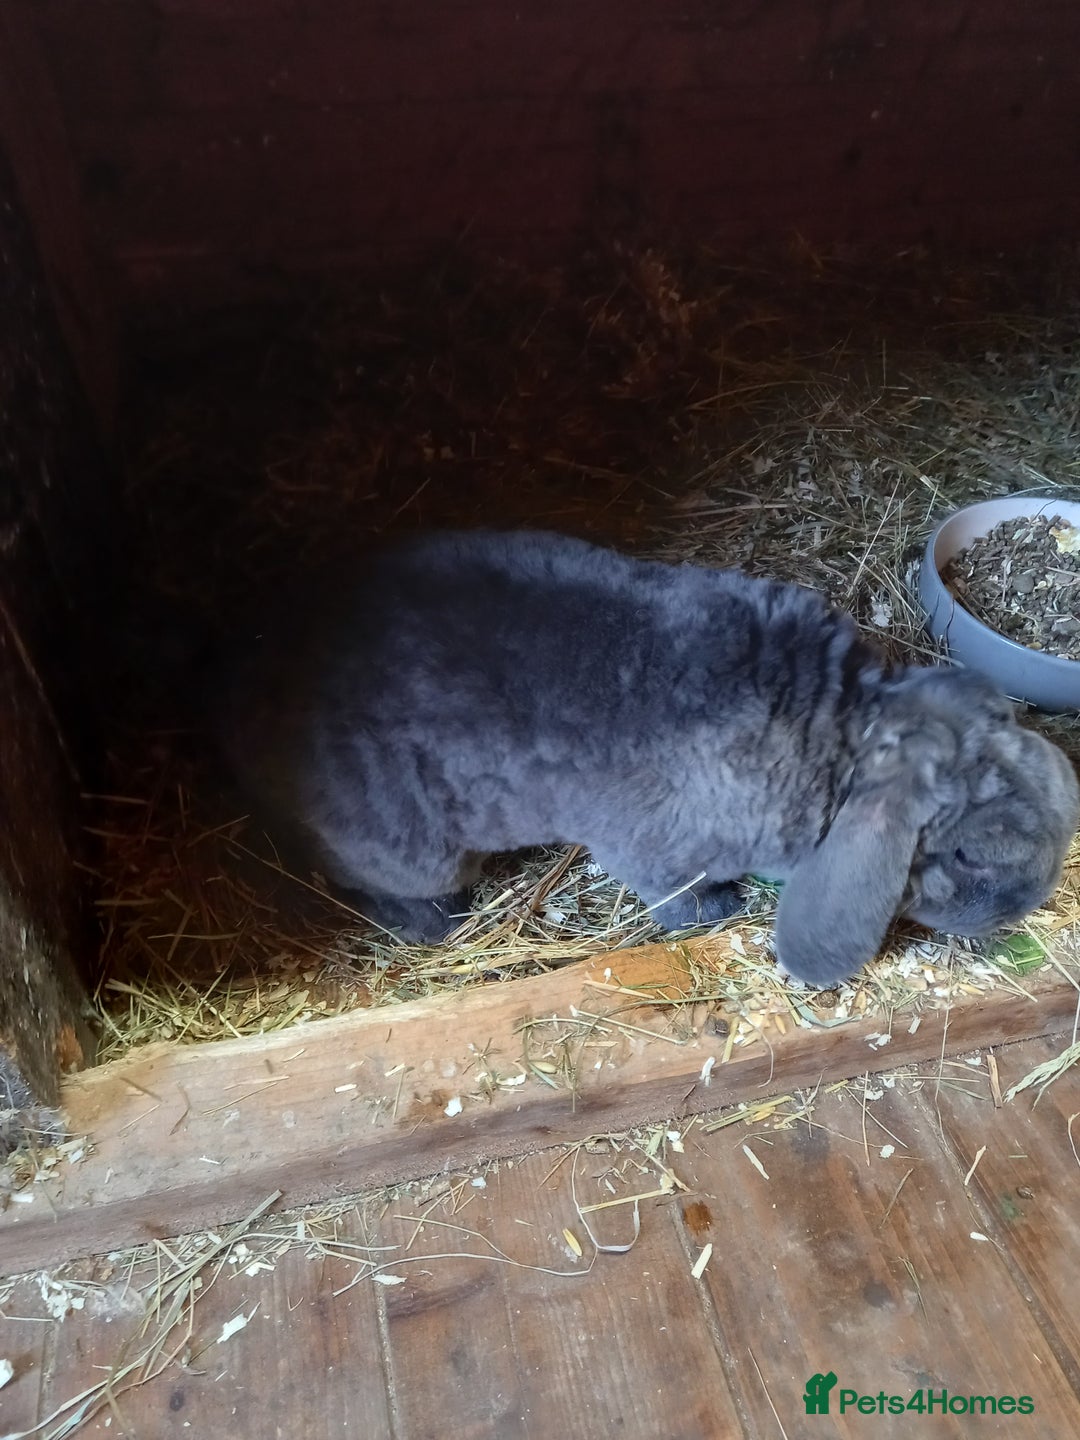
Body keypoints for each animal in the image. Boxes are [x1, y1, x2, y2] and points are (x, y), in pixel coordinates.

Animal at [214, 529, 1080, 988]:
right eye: (968, 855)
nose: (1024, 909)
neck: (834, 741)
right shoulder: (654, 850)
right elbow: (679, 895)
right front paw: (716, 914)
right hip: (407, 848)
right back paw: (431, 920)